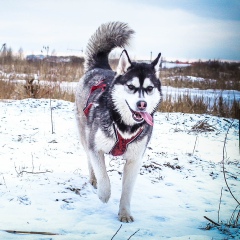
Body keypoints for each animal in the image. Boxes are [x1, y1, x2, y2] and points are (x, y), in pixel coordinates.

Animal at [75, 21, 161, 222]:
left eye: (149, 88)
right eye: (131, 86)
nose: (142, 104)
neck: (125, 126)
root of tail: (99, 66)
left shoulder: (135, 159)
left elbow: (127, 192)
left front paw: (125, 213)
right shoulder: (96, 147)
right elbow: (104, 177)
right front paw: (104, 194)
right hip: (84, 134)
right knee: (89, 159)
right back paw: (94, 180)